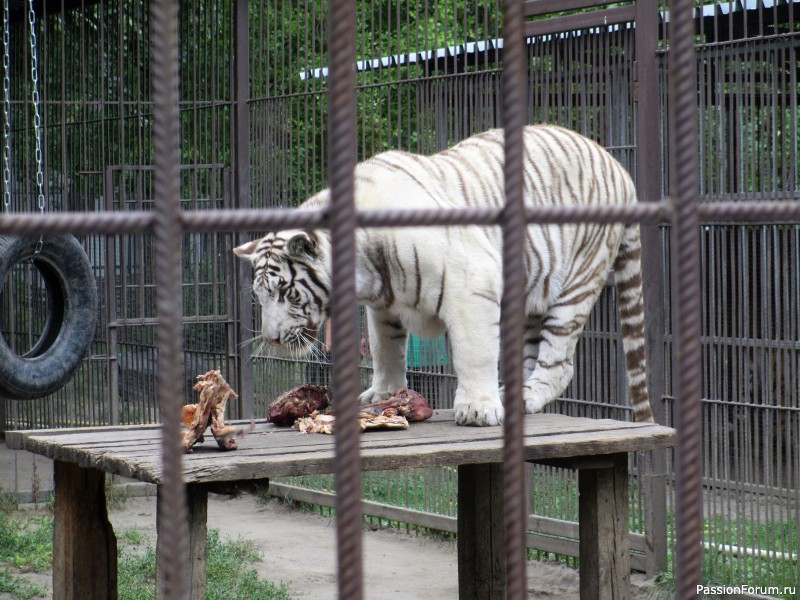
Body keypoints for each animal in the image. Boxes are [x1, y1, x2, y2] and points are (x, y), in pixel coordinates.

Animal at [234, 125, 652, 426]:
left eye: (287, 293)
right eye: (260, 297)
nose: (271, 338)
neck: (367, 269)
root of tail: (620, 168)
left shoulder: (471, 287)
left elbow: (474, 354)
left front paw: (478, 409)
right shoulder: (382, 308)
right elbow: (386, 351)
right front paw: (382, 393)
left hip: (576, 284)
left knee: (560, 362)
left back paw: (523, 397)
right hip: (536, 289)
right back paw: (512, 395)